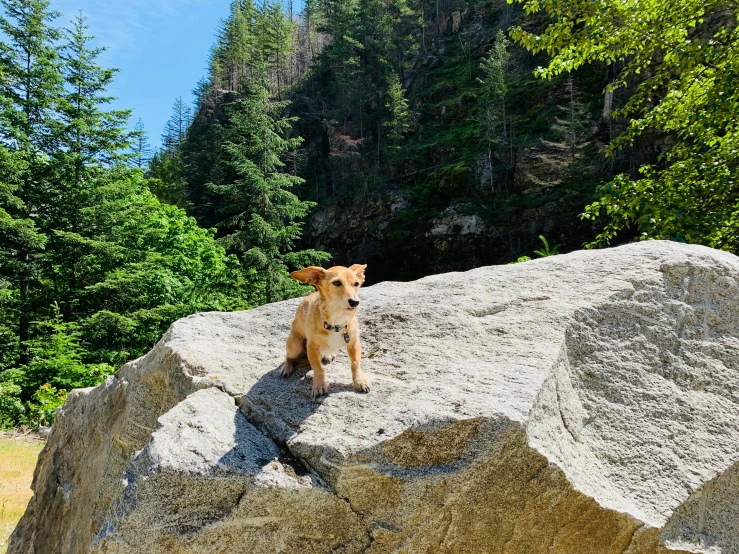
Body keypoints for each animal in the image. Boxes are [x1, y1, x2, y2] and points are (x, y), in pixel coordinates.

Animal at [278, 260, 368, 394]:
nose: (355, 302)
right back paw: (286, 367)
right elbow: (318, 367)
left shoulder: (354, 343)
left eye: (356, 284)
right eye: (337, 283)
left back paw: (328, 355)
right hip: (294, 345)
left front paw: (360, 381)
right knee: (288, 356)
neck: (336, 320)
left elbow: (355, 363)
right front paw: (319, 385)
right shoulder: (312, 347)